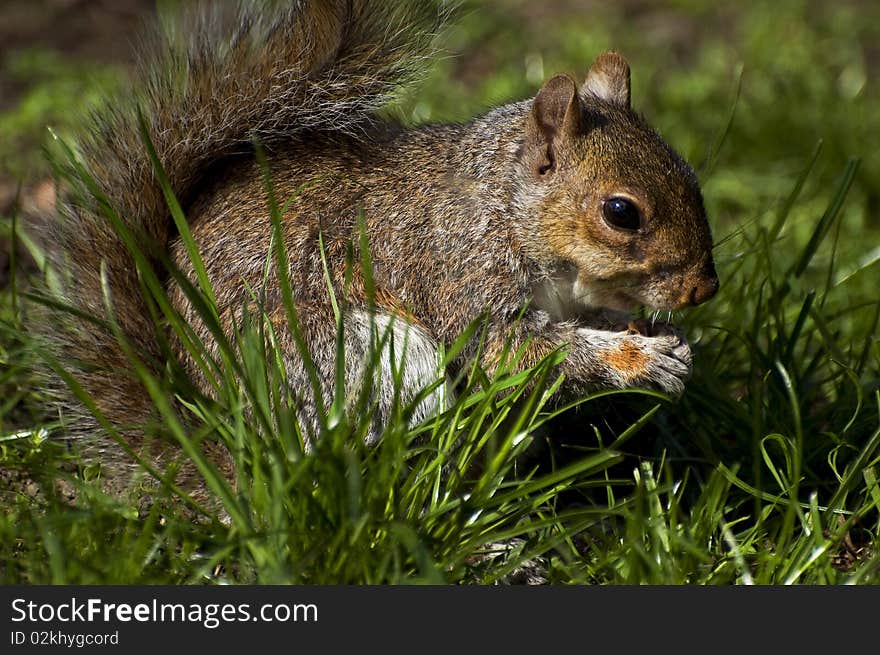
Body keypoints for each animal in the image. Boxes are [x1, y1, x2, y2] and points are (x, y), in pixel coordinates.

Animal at [32, 0, 716, 498]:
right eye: (621, 212)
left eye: (690, 172)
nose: (703, 289)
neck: (502, 206)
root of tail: (225, 456)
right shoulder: (457, 271)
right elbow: (510, 349)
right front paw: (637, 359)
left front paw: (660, 335)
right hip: (355, 361)